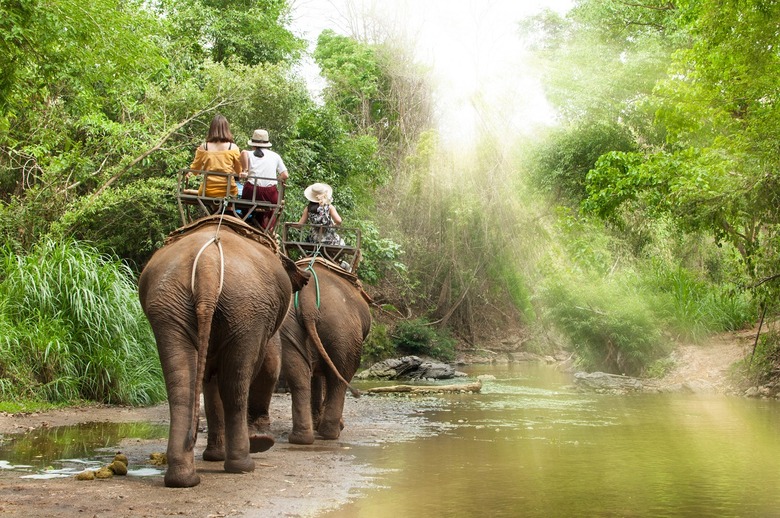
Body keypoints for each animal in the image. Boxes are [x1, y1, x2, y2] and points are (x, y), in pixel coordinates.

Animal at [138, 215, 308, 488]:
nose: (306, 278)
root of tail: (208, 265)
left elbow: (209, 379)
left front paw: (214, 456)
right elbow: (269, 364)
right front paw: (257, 443)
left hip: (171, 305)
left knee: (181, 384)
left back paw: (183, 479)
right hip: (246, 307)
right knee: (235, 384)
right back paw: (244, 464)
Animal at [279, 258, 372, 445]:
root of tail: (308, 299)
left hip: (291, 327)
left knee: (297, 375)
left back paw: (301, 438)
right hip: (344, 331)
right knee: (341, 377)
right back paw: (331, 433)